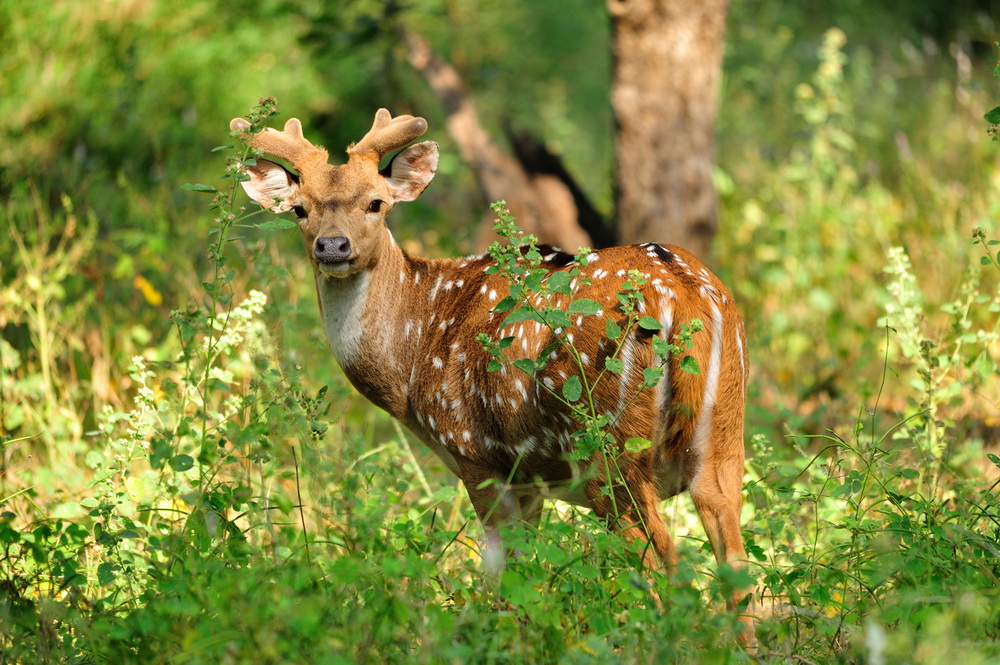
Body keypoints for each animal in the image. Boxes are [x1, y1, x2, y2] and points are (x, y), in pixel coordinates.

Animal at [229, 110, 756, 648]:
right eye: (299, 209)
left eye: (376, 202)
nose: (333, 246)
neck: (412, 359)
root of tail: (685, 297)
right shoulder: (530, 480)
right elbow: (528, 575)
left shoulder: (476, 453)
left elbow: (501, 574)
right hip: (724, 433)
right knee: (736, 560)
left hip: (607, 447)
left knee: (660, 556)